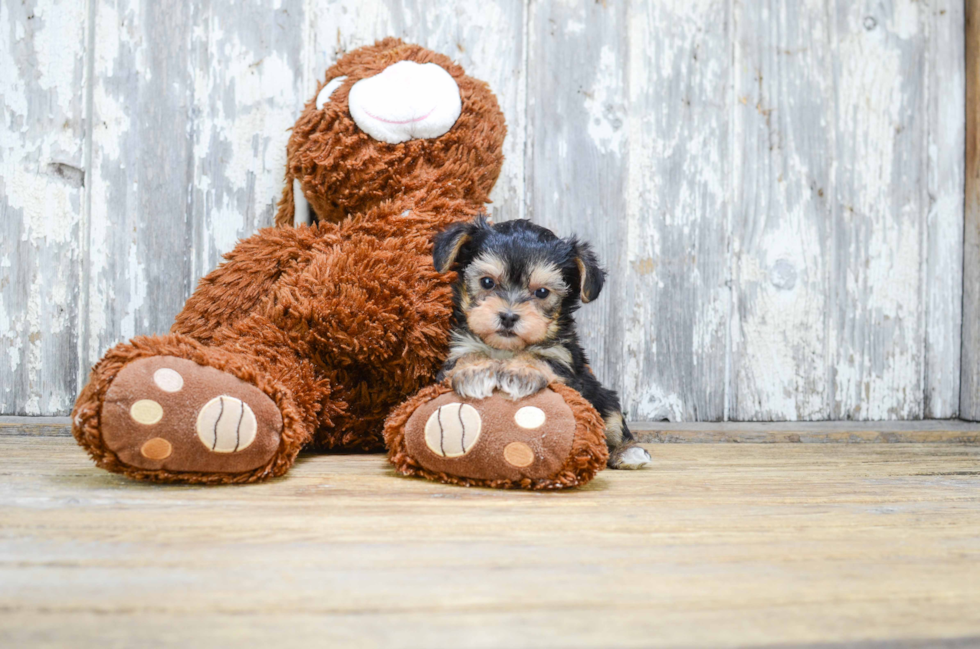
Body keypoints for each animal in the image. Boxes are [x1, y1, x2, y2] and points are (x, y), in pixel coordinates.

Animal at [434, 215, 652, 468]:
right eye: (487, 282)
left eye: (541, 292)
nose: (508, 316)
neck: (506, 349)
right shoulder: (459, 348)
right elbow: (467, 358)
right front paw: (475, 372)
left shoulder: (564, 361)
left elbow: (542, 359)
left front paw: (521, 372)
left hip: (604, 398)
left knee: (613, 423)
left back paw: (628, 452)